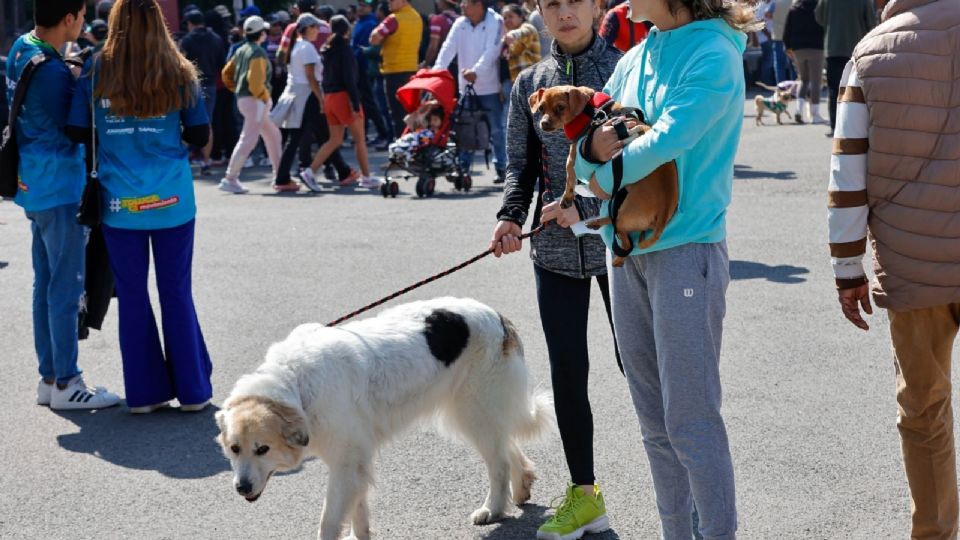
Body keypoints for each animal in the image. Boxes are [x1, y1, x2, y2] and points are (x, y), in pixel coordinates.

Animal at [214, 298, 552, 536]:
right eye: (234, 449)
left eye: (262, 449)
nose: (241, 488)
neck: (296, 383)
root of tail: (496, 316)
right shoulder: (355, 462)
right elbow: (357, 511)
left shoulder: (347, 464)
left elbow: (329, 521)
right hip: (469, 414)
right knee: (507, 446)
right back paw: (521, 488)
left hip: (474, 411)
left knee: (499, 463)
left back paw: (492, 509)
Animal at [528, 84, 680, 266]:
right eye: (541, 108)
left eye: (560, 107)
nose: (543, 123)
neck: (590, 108)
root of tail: (664, 212)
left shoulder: (574, 153)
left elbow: (569, 176)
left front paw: (566, 198)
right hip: (621, 208)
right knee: (614, 221)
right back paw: (596, 222)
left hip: (624, 215)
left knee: (625, 242)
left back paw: (617, 259)